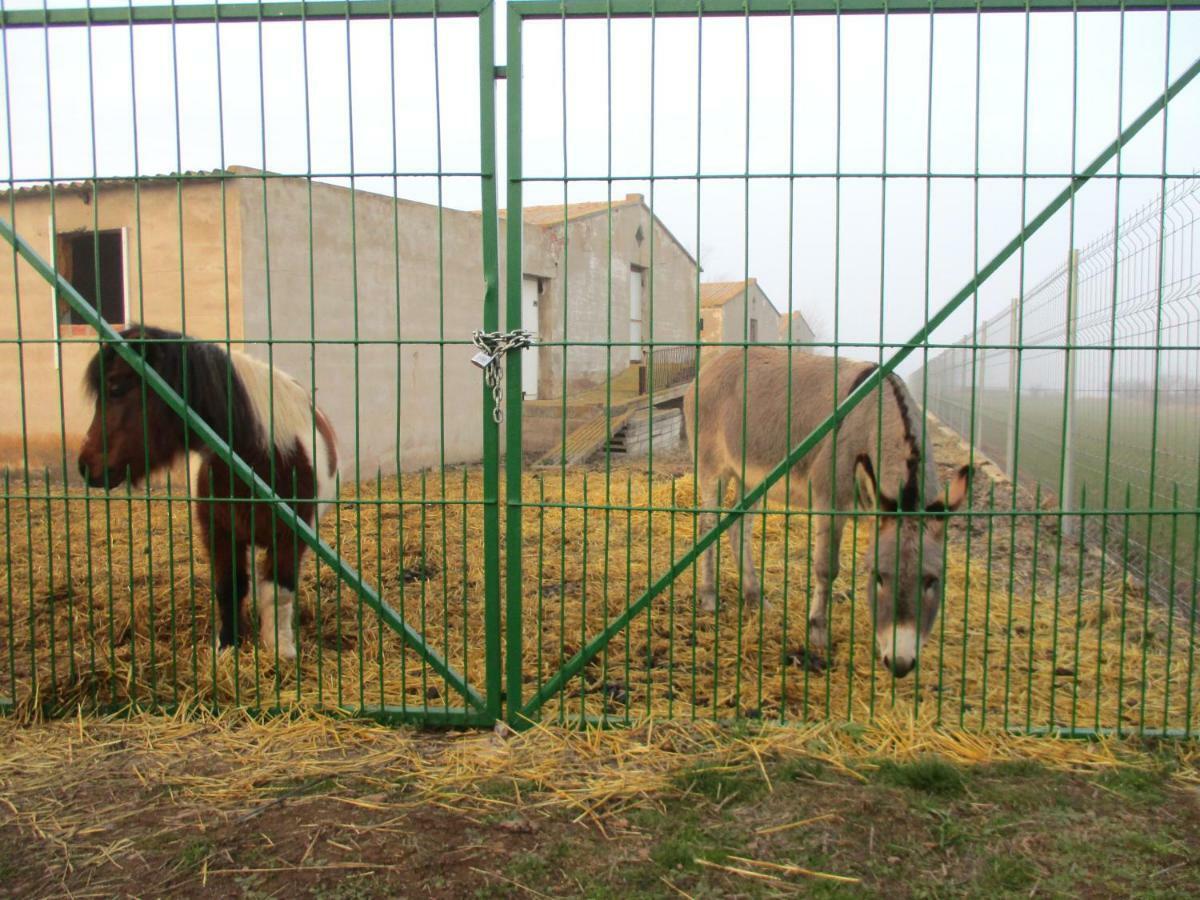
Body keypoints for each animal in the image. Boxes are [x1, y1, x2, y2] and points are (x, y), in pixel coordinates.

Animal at [78, 326, 338, 662]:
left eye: (116, 388)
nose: (86, 466)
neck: (260, 458)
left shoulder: (289, 537)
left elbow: (279, 591)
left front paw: (280, 648)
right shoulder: (219, 533)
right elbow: (230, 587)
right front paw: (226, 646)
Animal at [681, 348, 969, 681]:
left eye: (933, 580)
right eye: (879, 577)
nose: (899, 663)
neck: (874, 418)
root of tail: (709, 367)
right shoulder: (829, 499)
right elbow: (826, 568)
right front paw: (817, 631)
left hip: (751, 477)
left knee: (738, 525)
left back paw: (754, 597)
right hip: (712, 466)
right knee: (707, 525)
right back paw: (709, 596)